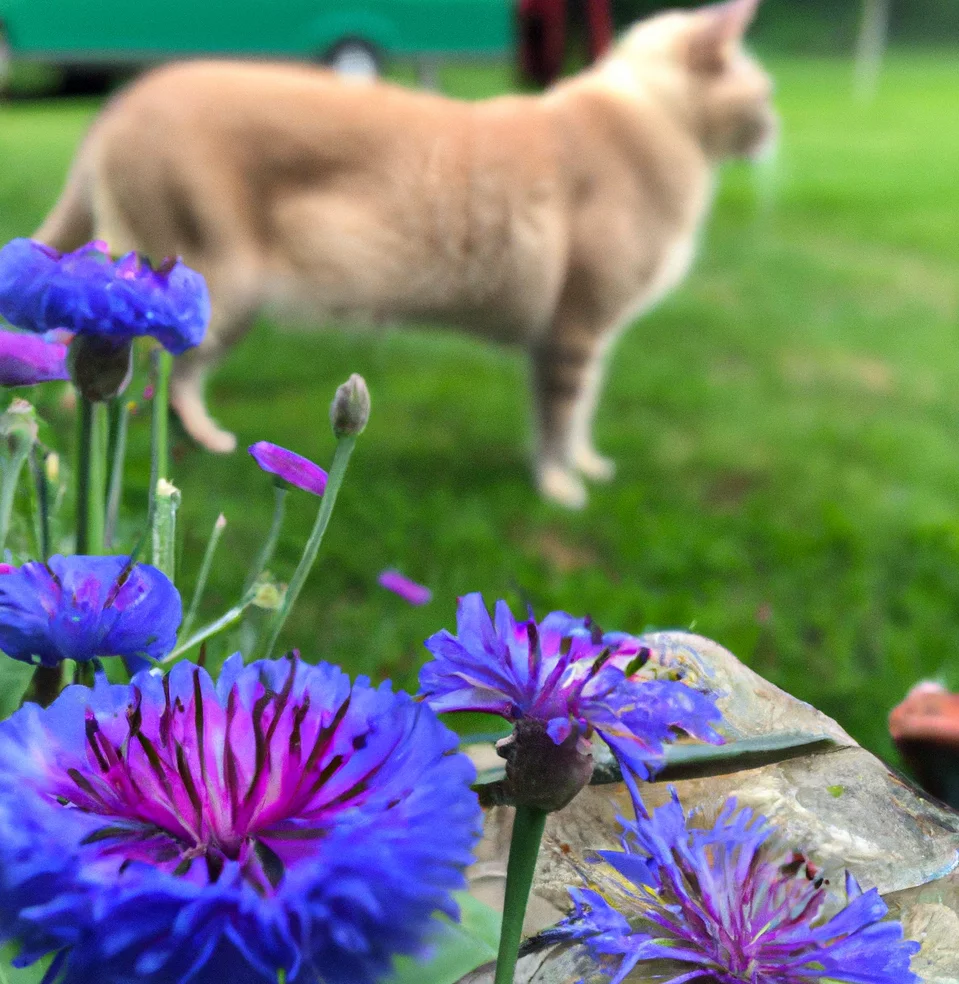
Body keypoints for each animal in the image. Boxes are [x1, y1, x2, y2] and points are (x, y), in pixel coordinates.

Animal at [33, 0, 776, 508]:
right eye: (765, 94)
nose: (773, 131)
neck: (659, 120)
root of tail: (120, 103)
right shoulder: (575, 329)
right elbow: (561, 417)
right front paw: (562, 488)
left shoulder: (584, 336)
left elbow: (581, 414)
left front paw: (587, 466)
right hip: (210, 285)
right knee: (103, 363)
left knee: (176, 378)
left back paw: (207, 441)